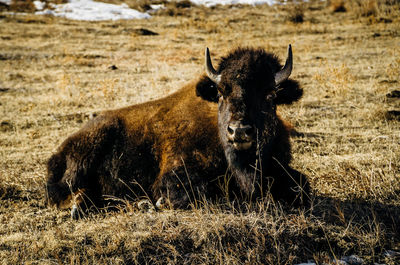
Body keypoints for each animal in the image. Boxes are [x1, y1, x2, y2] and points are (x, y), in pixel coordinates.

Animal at [46, 44, 310, 211]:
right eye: (221, 93)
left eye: (270, 95)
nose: (239, 131)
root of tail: (59, 151)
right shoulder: (175, 174)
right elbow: (200, 193)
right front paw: (159, 202)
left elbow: (302, 185)